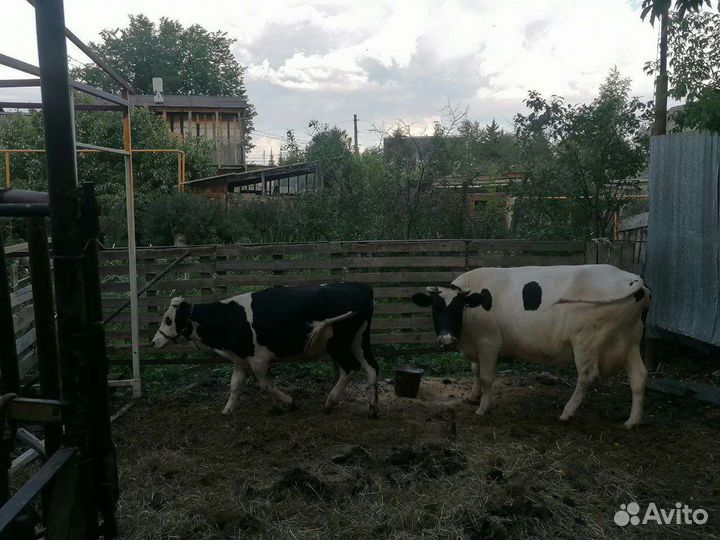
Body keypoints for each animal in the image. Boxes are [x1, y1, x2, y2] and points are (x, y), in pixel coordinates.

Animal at [151, 282, 379, 417]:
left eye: (168, 319)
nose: (154, 341)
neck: (230, 317)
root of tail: (361, 287)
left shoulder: (259, 360)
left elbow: (265, 385)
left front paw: (290, 402)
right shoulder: (240, 359)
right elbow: (235, 385)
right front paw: (227, 410)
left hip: (338, 343)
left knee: (350, 368)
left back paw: (329, 402)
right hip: (358, 339)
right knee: (371, 368)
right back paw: (372, 408)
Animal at [411, 265, 651, 428]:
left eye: (457, 307)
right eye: (435, 307)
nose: (446, 339)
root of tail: (632, 278)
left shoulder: (488, 342)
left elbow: (486, 377)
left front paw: (482, 408)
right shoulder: (476, 345)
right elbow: (475, 370)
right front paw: (473, 396)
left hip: (586, 340)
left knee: (587, 376)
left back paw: (566, 413)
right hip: (629, 340)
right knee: (639, 376)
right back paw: (632, 421)